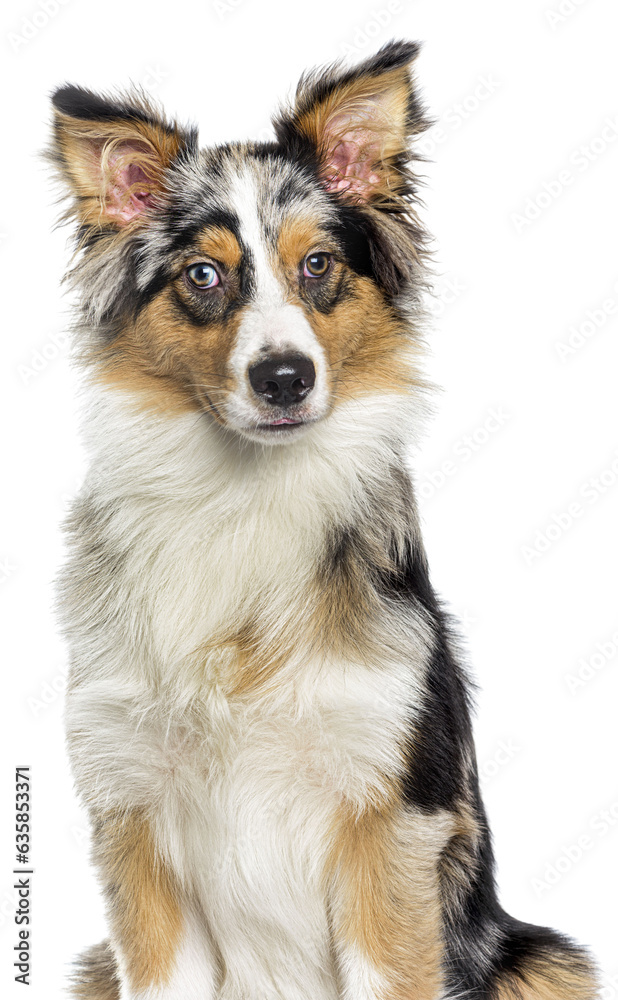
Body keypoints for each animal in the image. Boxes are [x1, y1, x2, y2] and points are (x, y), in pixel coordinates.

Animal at [49, 39, 596, 1000]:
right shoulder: (134, 811)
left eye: (318, 267)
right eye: (203, 275)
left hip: (543, 958)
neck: (242, 498)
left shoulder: (392, 814)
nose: (283, 378)